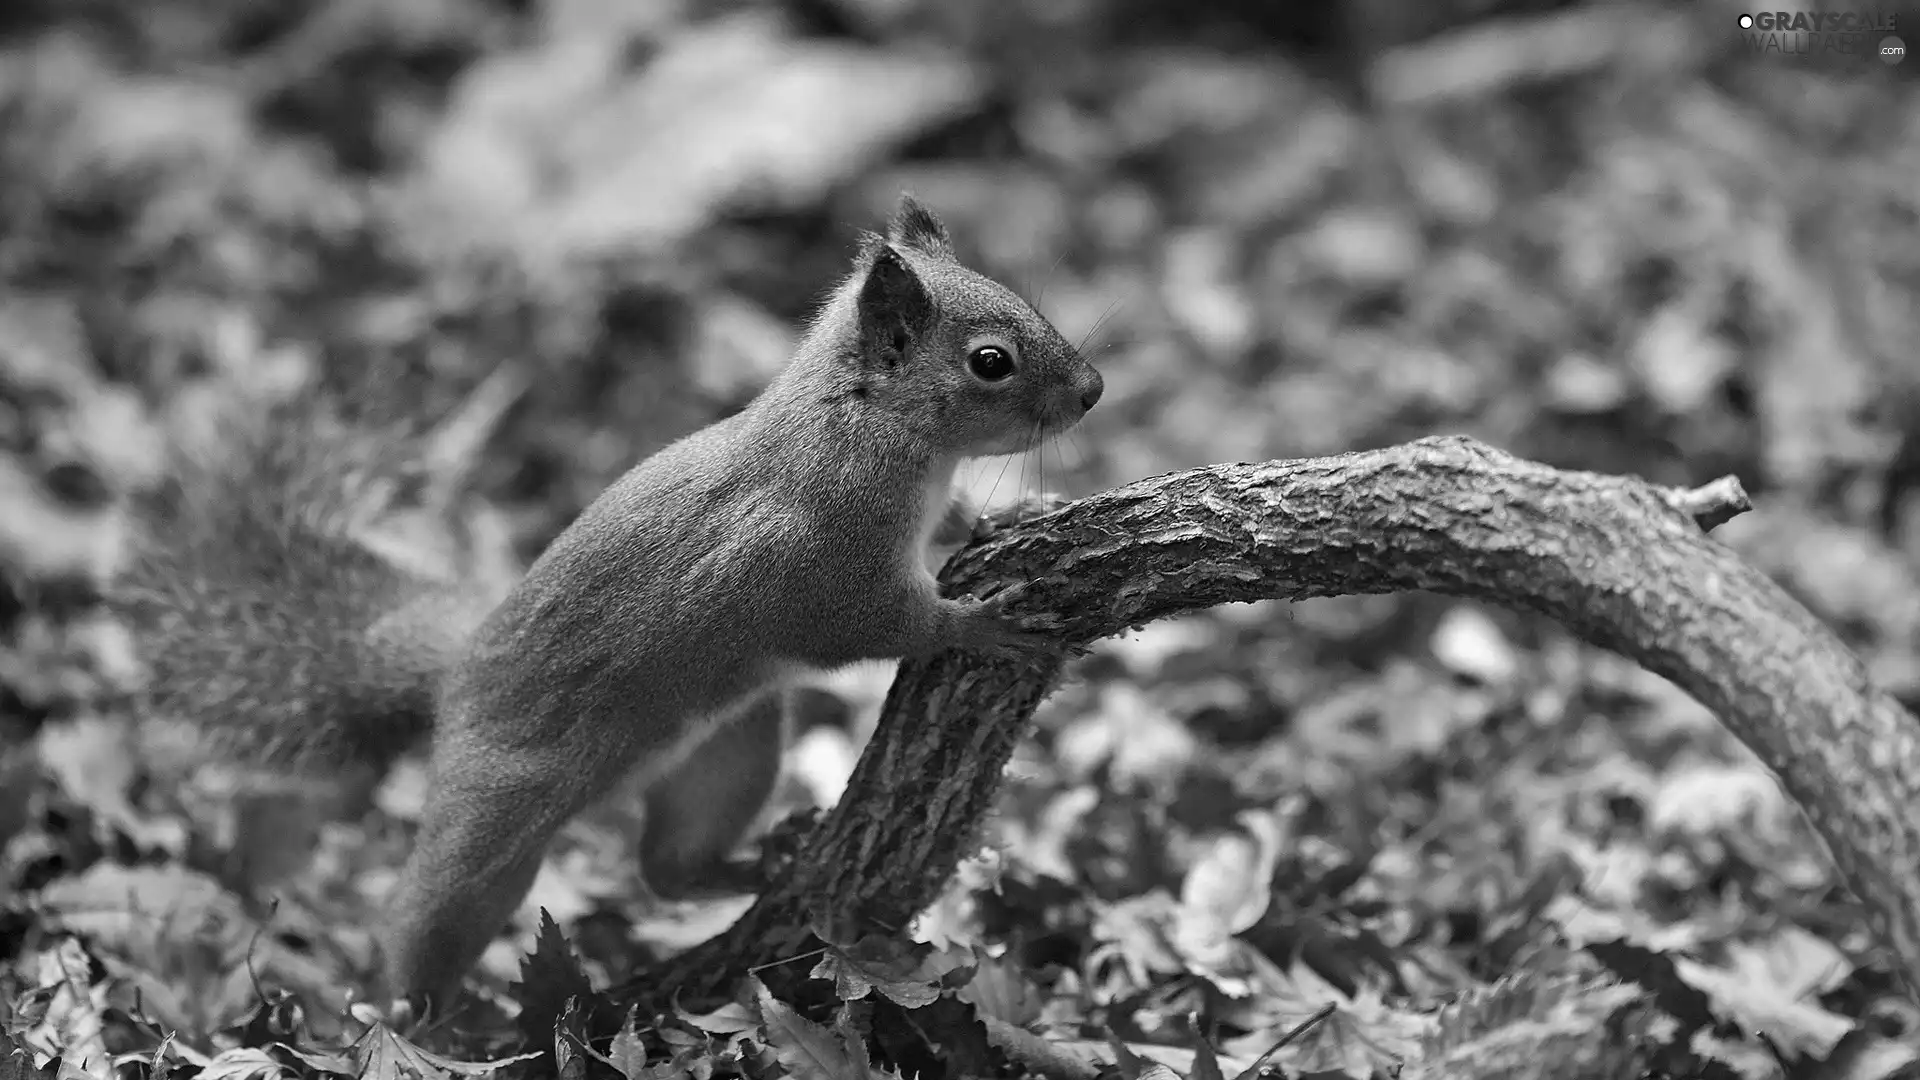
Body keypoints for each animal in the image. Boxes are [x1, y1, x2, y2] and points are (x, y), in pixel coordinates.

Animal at [116, 195, 1113, 1014]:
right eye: (991, 362)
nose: (1094, 391)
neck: (864, 422)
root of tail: (455, 674)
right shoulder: (822, 567)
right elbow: (876, 626)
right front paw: (983, 625)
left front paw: (1008, 512)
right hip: (494, 816)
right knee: (431, 909)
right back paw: (409, 1019)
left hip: (729, 749)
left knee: (666, 869)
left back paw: (755, 860)